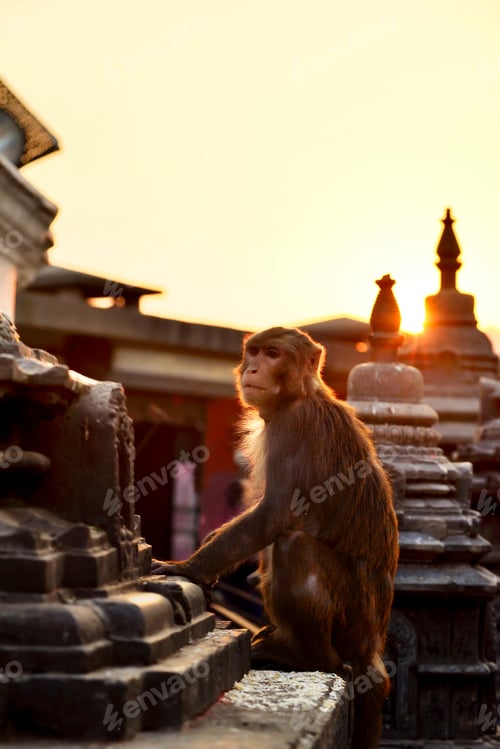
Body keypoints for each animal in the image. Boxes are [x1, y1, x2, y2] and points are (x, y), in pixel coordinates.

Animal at [152, 326, 399, 749]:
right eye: (253, 352)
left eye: (272, 354)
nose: (252, 368)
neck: (302, 395)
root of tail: (371, 645)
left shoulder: (293, 426)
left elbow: (274, 515)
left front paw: (187, 568)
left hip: (352, 618)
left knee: (292, 545)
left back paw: (307, 657)